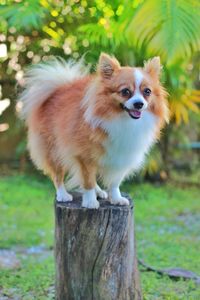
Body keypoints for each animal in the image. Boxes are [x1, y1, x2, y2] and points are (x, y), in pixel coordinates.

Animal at [19, 53, 169, 209]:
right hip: (53, 151)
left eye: (147, 92)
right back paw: (63, 194)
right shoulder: (84, 157)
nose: (139, 104)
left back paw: (99, 191)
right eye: (125, 91)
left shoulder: (121, 156)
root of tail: (59, 89)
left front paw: (116, 198)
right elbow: (88, 181)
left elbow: (115, 182)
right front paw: (90, 201)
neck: (122, 119)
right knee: (58, 175)